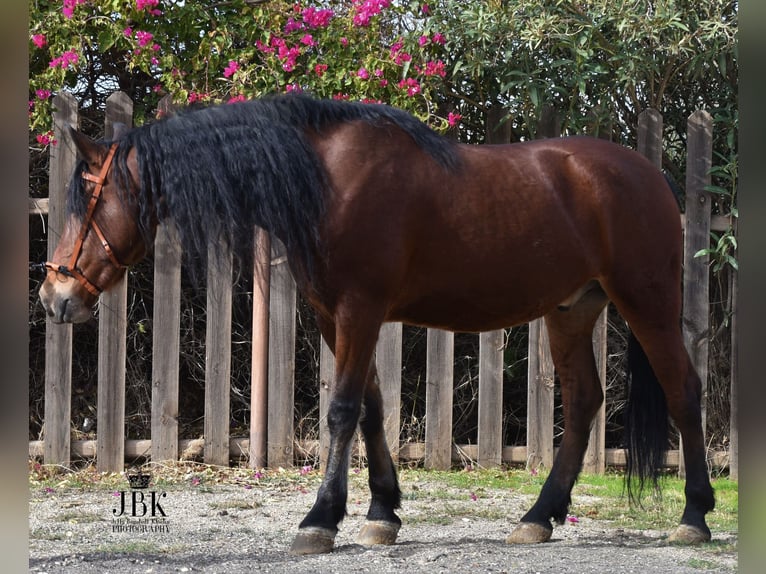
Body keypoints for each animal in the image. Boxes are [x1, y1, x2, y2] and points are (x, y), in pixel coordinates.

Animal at [39, 93, 716, 552]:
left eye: (89, 200)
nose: (54, 296)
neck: (327, 180)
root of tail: (650, 174)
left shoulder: (360, 310)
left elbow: (341, 410)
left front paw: (320, 519)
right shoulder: (331, 314)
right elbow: (368, 408)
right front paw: (382, 512)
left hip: (646, 302)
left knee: (684, 392)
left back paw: (694, 516)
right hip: (572, 310)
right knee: (582, 402)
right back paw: (538, 517)